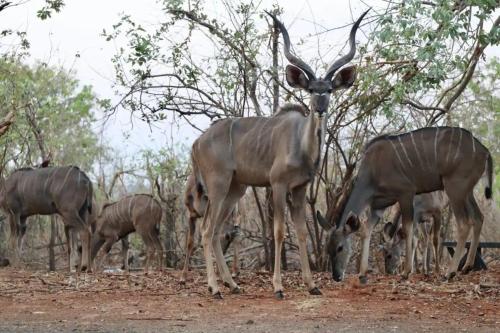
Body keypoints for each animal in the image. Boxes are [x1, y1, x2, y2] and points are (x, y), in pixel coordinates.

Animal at [189, 10, 370, 296]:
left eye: (329, 90)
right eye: (311, 90)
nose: (320, 108)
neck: (301, 145)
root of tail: (197, 142)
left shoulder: (299, 188)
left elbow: (302, 232)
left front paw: (312, 286)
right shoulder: (278, 185)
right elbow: (279, 232)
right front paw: (278, 287)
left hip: (235, 188)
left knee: (217, 230)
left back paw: (233, 285)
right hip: (218, 185)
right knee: (207, 230)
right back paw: (215, 289)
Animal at [318, 127, 490, 282]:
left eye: (340, 248)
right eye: (328, 249)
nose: (336, 276)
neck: (372, 171)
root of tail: (484, 151)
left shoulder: (406, 193)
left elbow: (408, 230)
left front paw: (406, 272)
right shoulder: (378, 206)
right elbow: (367, 230)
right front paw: (362, 273)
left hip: (454, 188)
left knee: (464, 223)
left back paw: (450, 272)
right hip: (466, 191)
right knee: (479, 217)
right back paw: (467, 267)